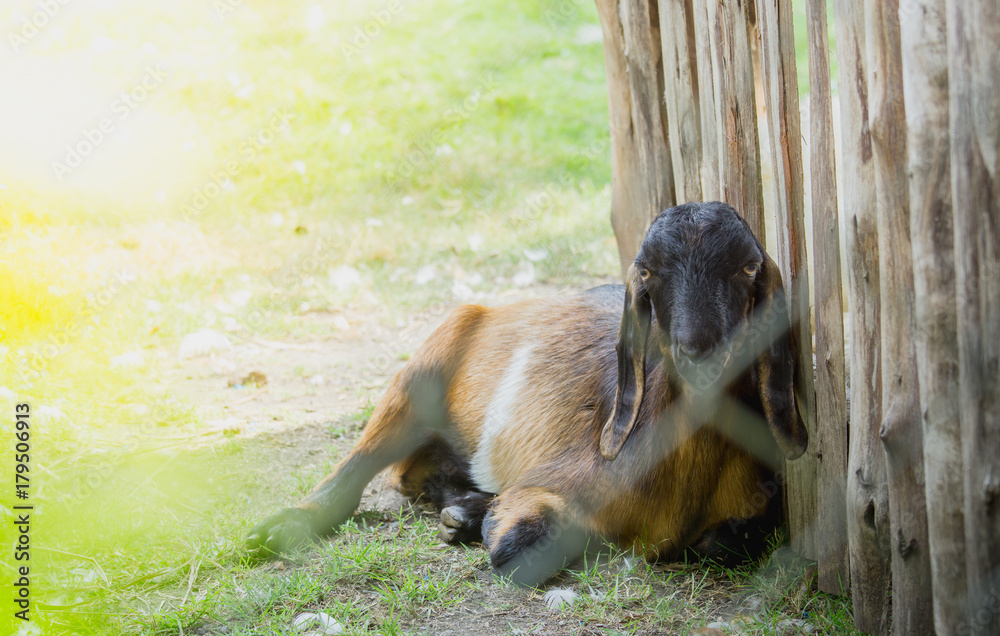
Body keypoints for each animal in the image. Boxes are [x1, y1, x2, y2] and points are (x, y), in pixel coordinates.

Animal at [246, 201, 808, 584]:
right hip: (426, 367)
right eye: (648, 272)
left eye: (749, 267)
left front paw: (471, 517)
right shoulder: (556, 483)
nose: (700, 351)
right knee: (362, 467)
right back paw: (281, 529)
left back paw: (461, 511)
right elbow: (523, 547)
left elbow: (729, 541)